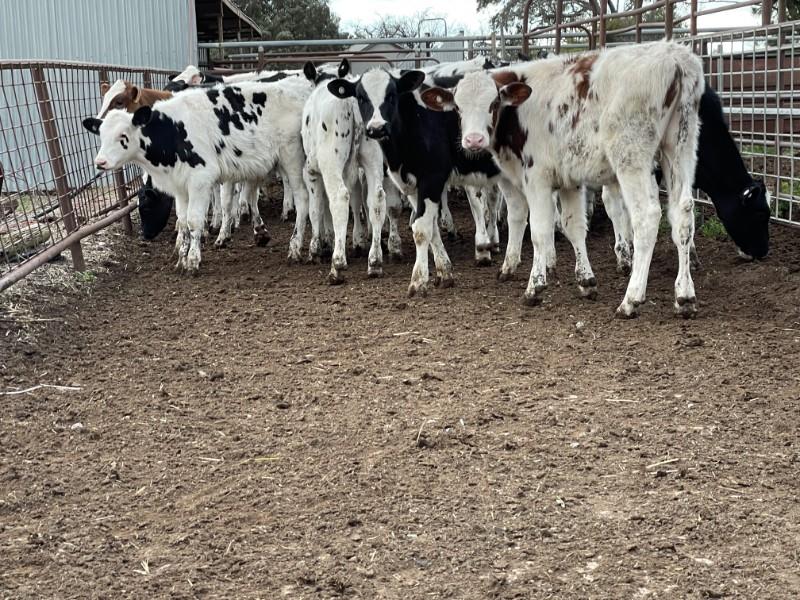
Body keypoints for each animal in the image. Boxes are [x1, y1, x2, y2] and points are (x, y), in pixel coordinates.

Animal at [422, 41, 705, 318]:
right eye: (458, 108)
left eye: (493, 103)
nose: (473, 140)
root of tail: (674, 56)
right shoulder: (568, 181)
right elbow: (572, 226)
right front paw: (585, 281)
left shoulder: (536, 178)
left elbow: (539, 231)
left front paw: (535, 286)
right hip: (679, 148)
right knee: (682, 214)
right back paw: (684, 296)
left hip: (631, 157)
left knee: (646, 216)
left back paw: (631, 299)